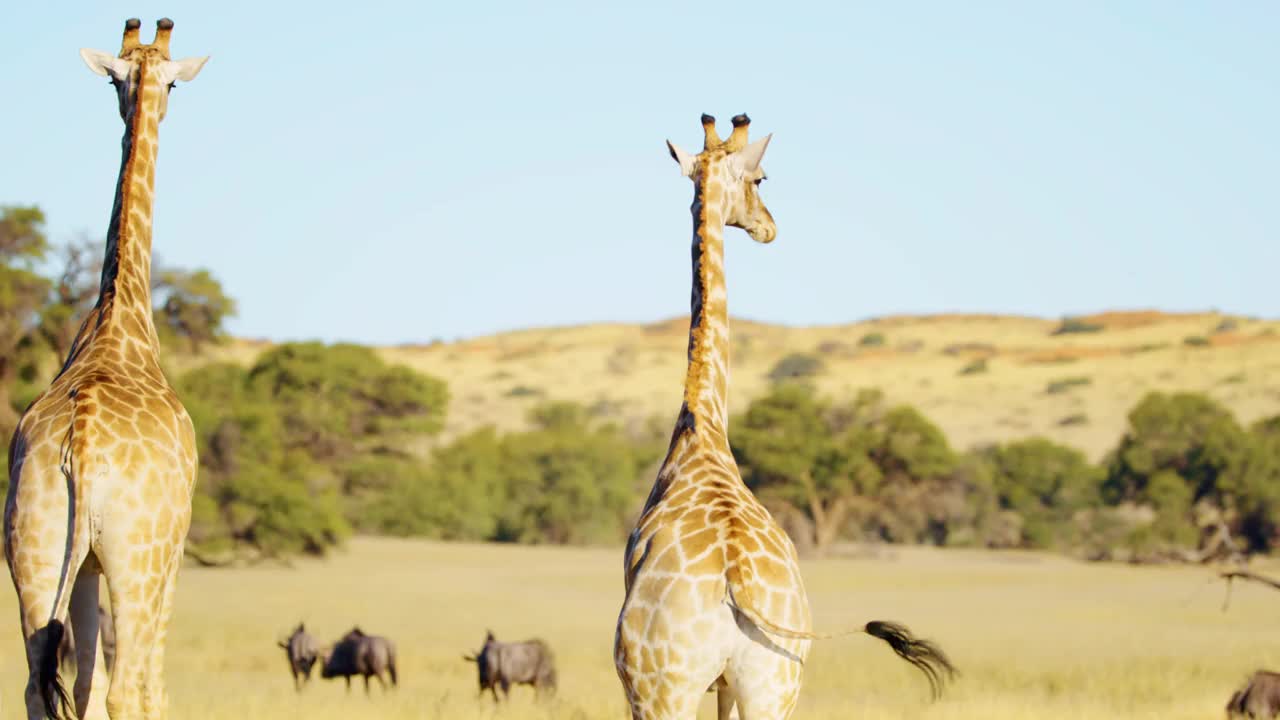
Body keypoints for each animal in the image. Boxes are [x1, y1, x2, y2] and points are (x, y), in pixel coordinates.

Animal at [5, 16, 206, 717]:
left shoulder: (85, 563)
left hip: (34, 550)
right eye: (171, 82)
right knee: (127, 686)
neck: (120, 316)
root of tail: (85, 446)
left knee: (39, 682)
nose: (149, 102)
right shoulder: (174, 549)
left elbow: (82, 682)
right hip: (137, 558)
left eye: (127, 80)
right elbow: (147, 687)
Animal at [614, 114, 957, 712]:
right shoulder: (733, 685)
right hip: (773, 684)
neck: (702, 429)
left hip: (662, 689)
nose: (769, 227)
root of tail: (736, 585)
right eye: (762, 178)